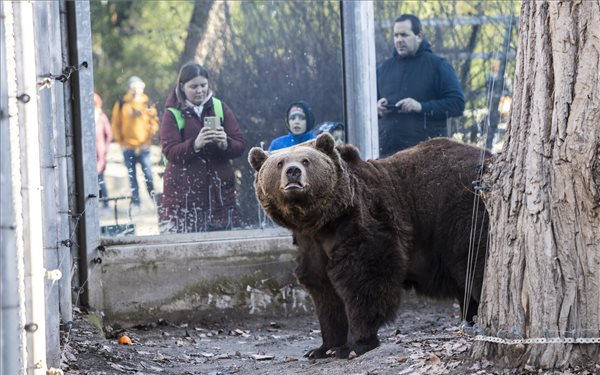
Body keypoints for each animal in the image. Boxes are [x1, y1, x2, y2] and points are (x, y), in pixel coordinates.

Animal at [247, 134, 488, 360]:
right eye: (280, 163)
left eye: (306, 160)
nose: (293, 172)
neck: (321, 223)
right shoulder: (311, 246)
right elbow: (324, 292)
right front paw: (322, 348)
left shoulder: (362, 223)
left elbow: (365, 280)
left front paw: (353, 346)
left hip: (461, 213)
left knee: (477, 266)